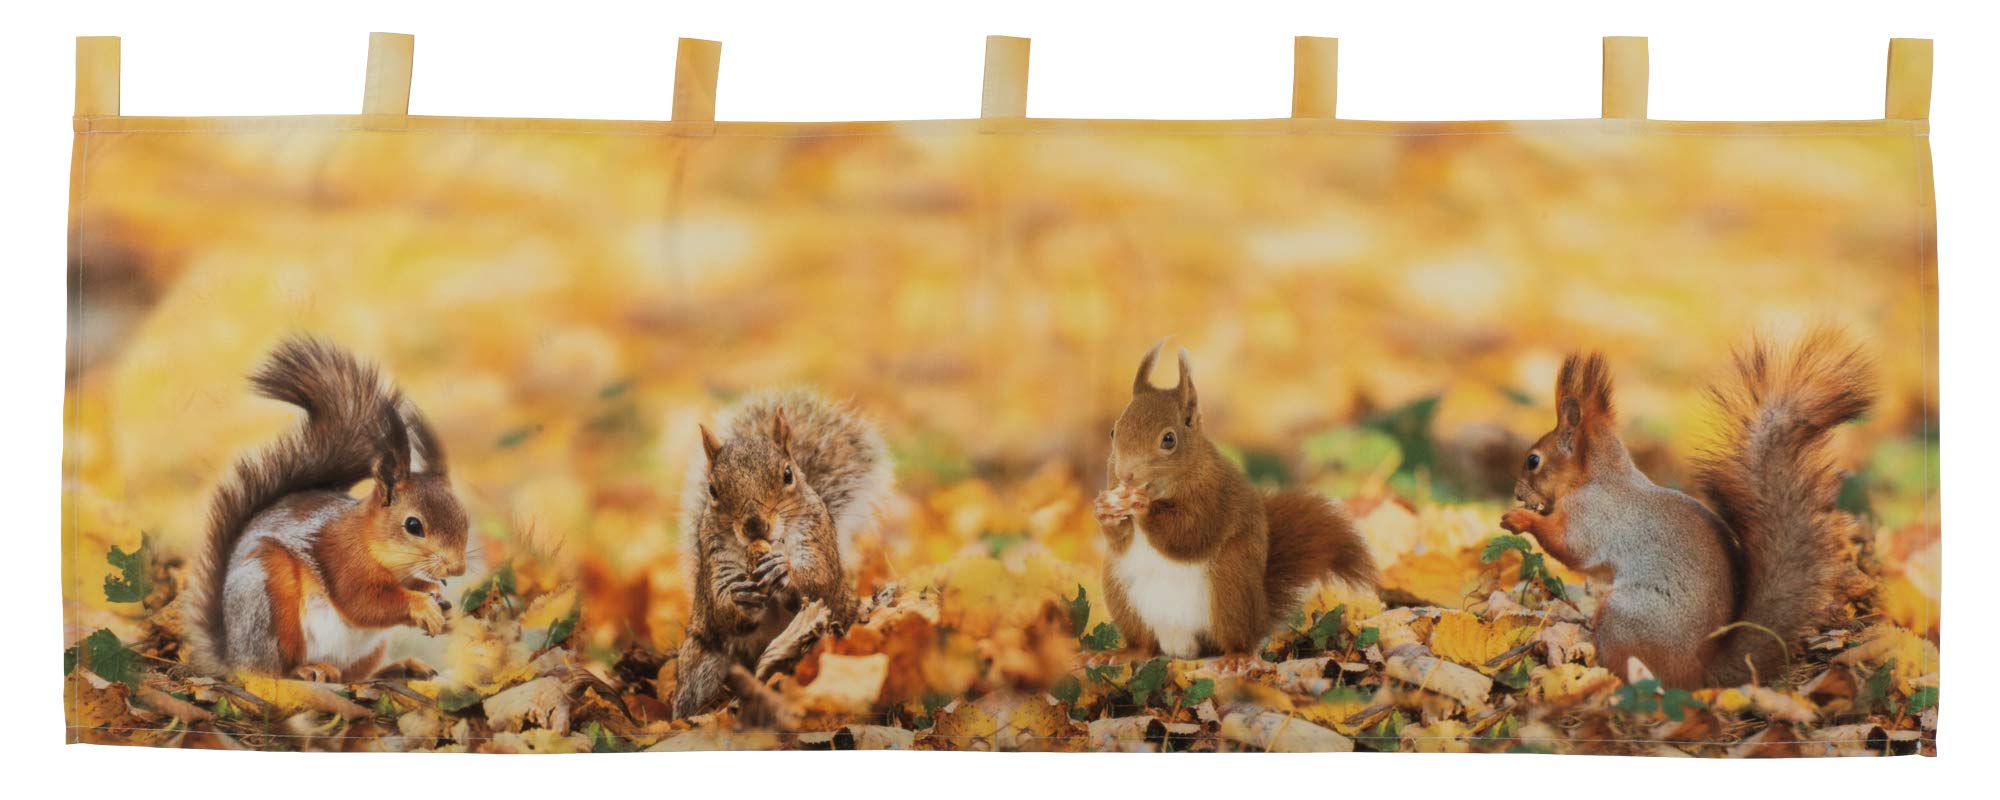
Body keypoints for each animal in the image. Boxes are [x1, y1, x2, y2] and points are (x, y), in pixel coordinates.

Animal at [184, 337, 469, 682]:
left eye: (464, 518)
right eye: (414, 526)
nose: (457, 568)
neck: (374, 543)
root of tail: (231, 656)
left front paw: (445, 608)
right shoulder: (343, 559)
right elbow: (365, 601)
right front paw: (422, 605)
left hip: (368, 650)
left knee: (355, 677)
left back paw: (401, 667)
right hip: (267, 602)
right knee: (269, 671)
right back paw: (308, 669)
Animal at [672, 389, 894, 718]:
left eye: (787, 474)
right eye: (712, 489)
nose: (754, 525)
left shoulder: (817, 538)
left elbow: (821, 580)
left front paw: (784, 571)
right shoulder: (715, 558)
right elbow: (721, 608)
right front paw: (738, 597)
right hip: (702, 659)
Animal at [1093, 342, 1378, 661]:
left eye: (1169, 439)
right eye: (1113, 431)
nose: (1126, 474)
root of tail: (1181, 646)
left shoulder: (1214, 496)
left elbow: (1190, 533)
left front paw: (1144, 507)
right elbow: (1119, 541)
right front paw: (1105, 510)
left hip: (1230, 588)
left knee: (1236, 638)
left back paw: (1235, 659)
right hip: (1120, 591)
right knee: (1143, 644)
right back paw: (1122, 653)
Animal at [1500, 332, 1874, 687]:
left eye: (1533, 461)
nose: (1517, 493)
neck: (1599, 477)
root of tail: (1699, 672)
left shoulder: (1592, 517)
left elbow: (1569, 547)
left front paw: (1520, 519)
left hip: (1624, 617)